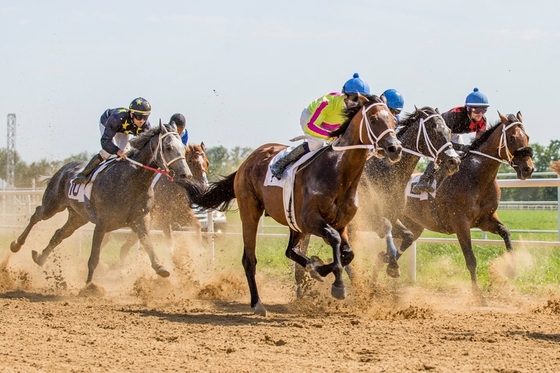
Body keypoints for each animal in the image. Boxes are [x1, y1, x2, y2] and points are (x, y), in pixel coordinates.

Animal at [10, 123, 205, 284]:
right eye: (168, 147)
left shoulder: (141, 219)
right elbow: (94, 257)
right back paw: (16, 244)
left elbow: (148, 244)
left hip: (77, 217)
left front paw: (162, 268)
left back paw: (40, 258)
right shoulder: (103, 223)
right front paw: (90, 286)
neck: (131, 180)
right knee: (37, 214)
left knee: (59, 234)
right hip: (53, 204)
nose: (185, 175)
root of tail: (64, 168)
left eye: (183, 148)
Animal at [194, 93, 402, 314]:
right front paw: (337, 285)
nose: (395, 148)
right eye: (373, 119)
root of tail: (246, 162)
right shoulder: (310, 219)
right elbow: (335, 241)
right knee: (249, 259)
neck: (338, 172)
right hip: (250, 211)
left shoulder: (341, 223)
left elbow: (347, 254)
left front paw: (317, 267)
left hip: (292, 221)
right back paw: (258, 303)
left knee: (290, 251)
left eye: (393, 120)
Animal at [394, 112, 532, 304]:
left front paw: (511, 269)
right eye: (511, 138)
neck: (476, 177)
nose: (528, 169)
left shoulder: (485, 220)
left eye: (527, 137)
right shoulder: (461, 224)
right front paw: (479, 296)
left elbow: (506, 232)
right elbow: (471, 260)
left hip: (413, 226)